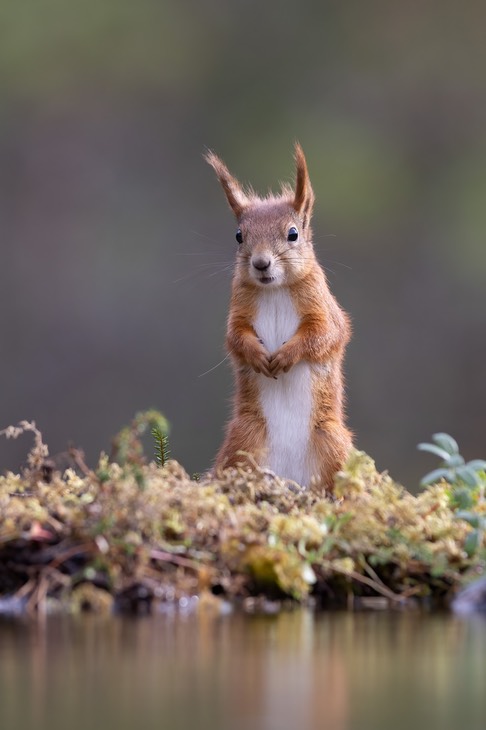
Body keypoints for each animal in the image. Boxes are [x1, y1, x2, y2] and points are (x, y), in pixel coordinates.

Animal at [206, 144, 354, 490]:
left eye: (293, 234)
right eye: (238, 236)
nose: (261, 263)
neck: (275, 289)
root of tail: (291, 478)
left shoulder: (322, 307)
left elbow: (324, 334)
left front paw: (287, 355)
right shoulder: (238, 307)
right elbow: (235, 337)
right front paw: (257, 355)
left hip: (331, 438)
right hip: (244, 437)